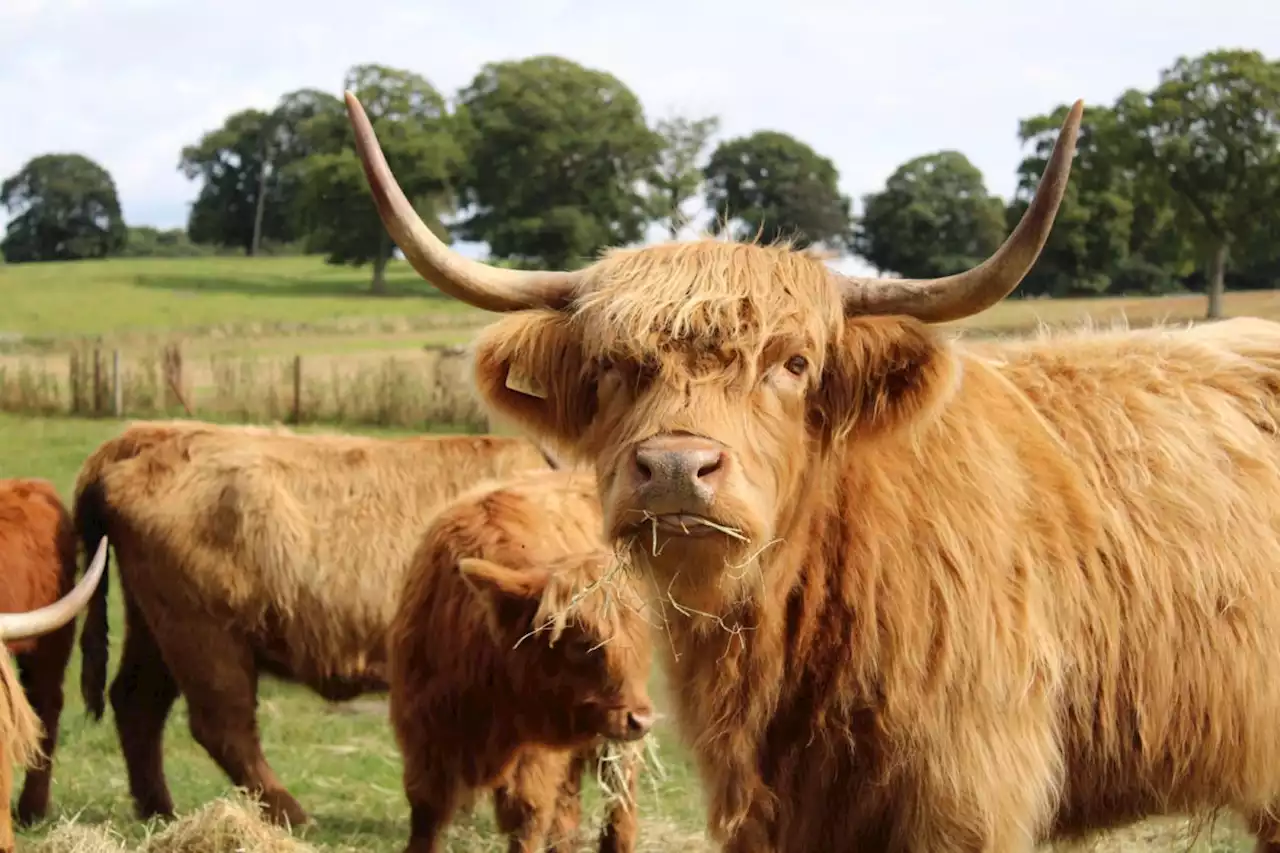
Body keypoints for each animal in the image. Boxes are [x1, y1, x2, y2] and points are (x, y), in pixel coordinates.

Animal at [386, 466, 650, 850]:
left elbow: (526, 819)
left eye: (636, 642)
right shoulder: (426, 743)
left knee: (619, 793)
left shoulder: (533, 759)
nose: (640, 720)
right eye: (580, 643)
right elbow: (426, 820)